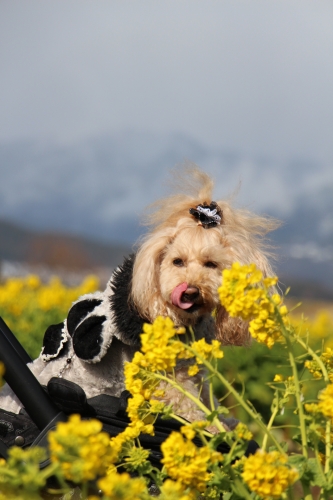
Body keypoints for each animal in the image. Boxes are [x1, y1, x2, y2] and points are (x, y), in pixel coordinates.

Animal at [0, 167, 278, 430]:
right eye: (177, 261)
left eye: (211, 264)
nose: (190, 291)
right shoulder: (168, 378)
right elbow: (189, 407)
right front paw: (212, 430)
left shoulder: (191, 370)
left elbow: (206, 397)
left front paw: (228, 425)